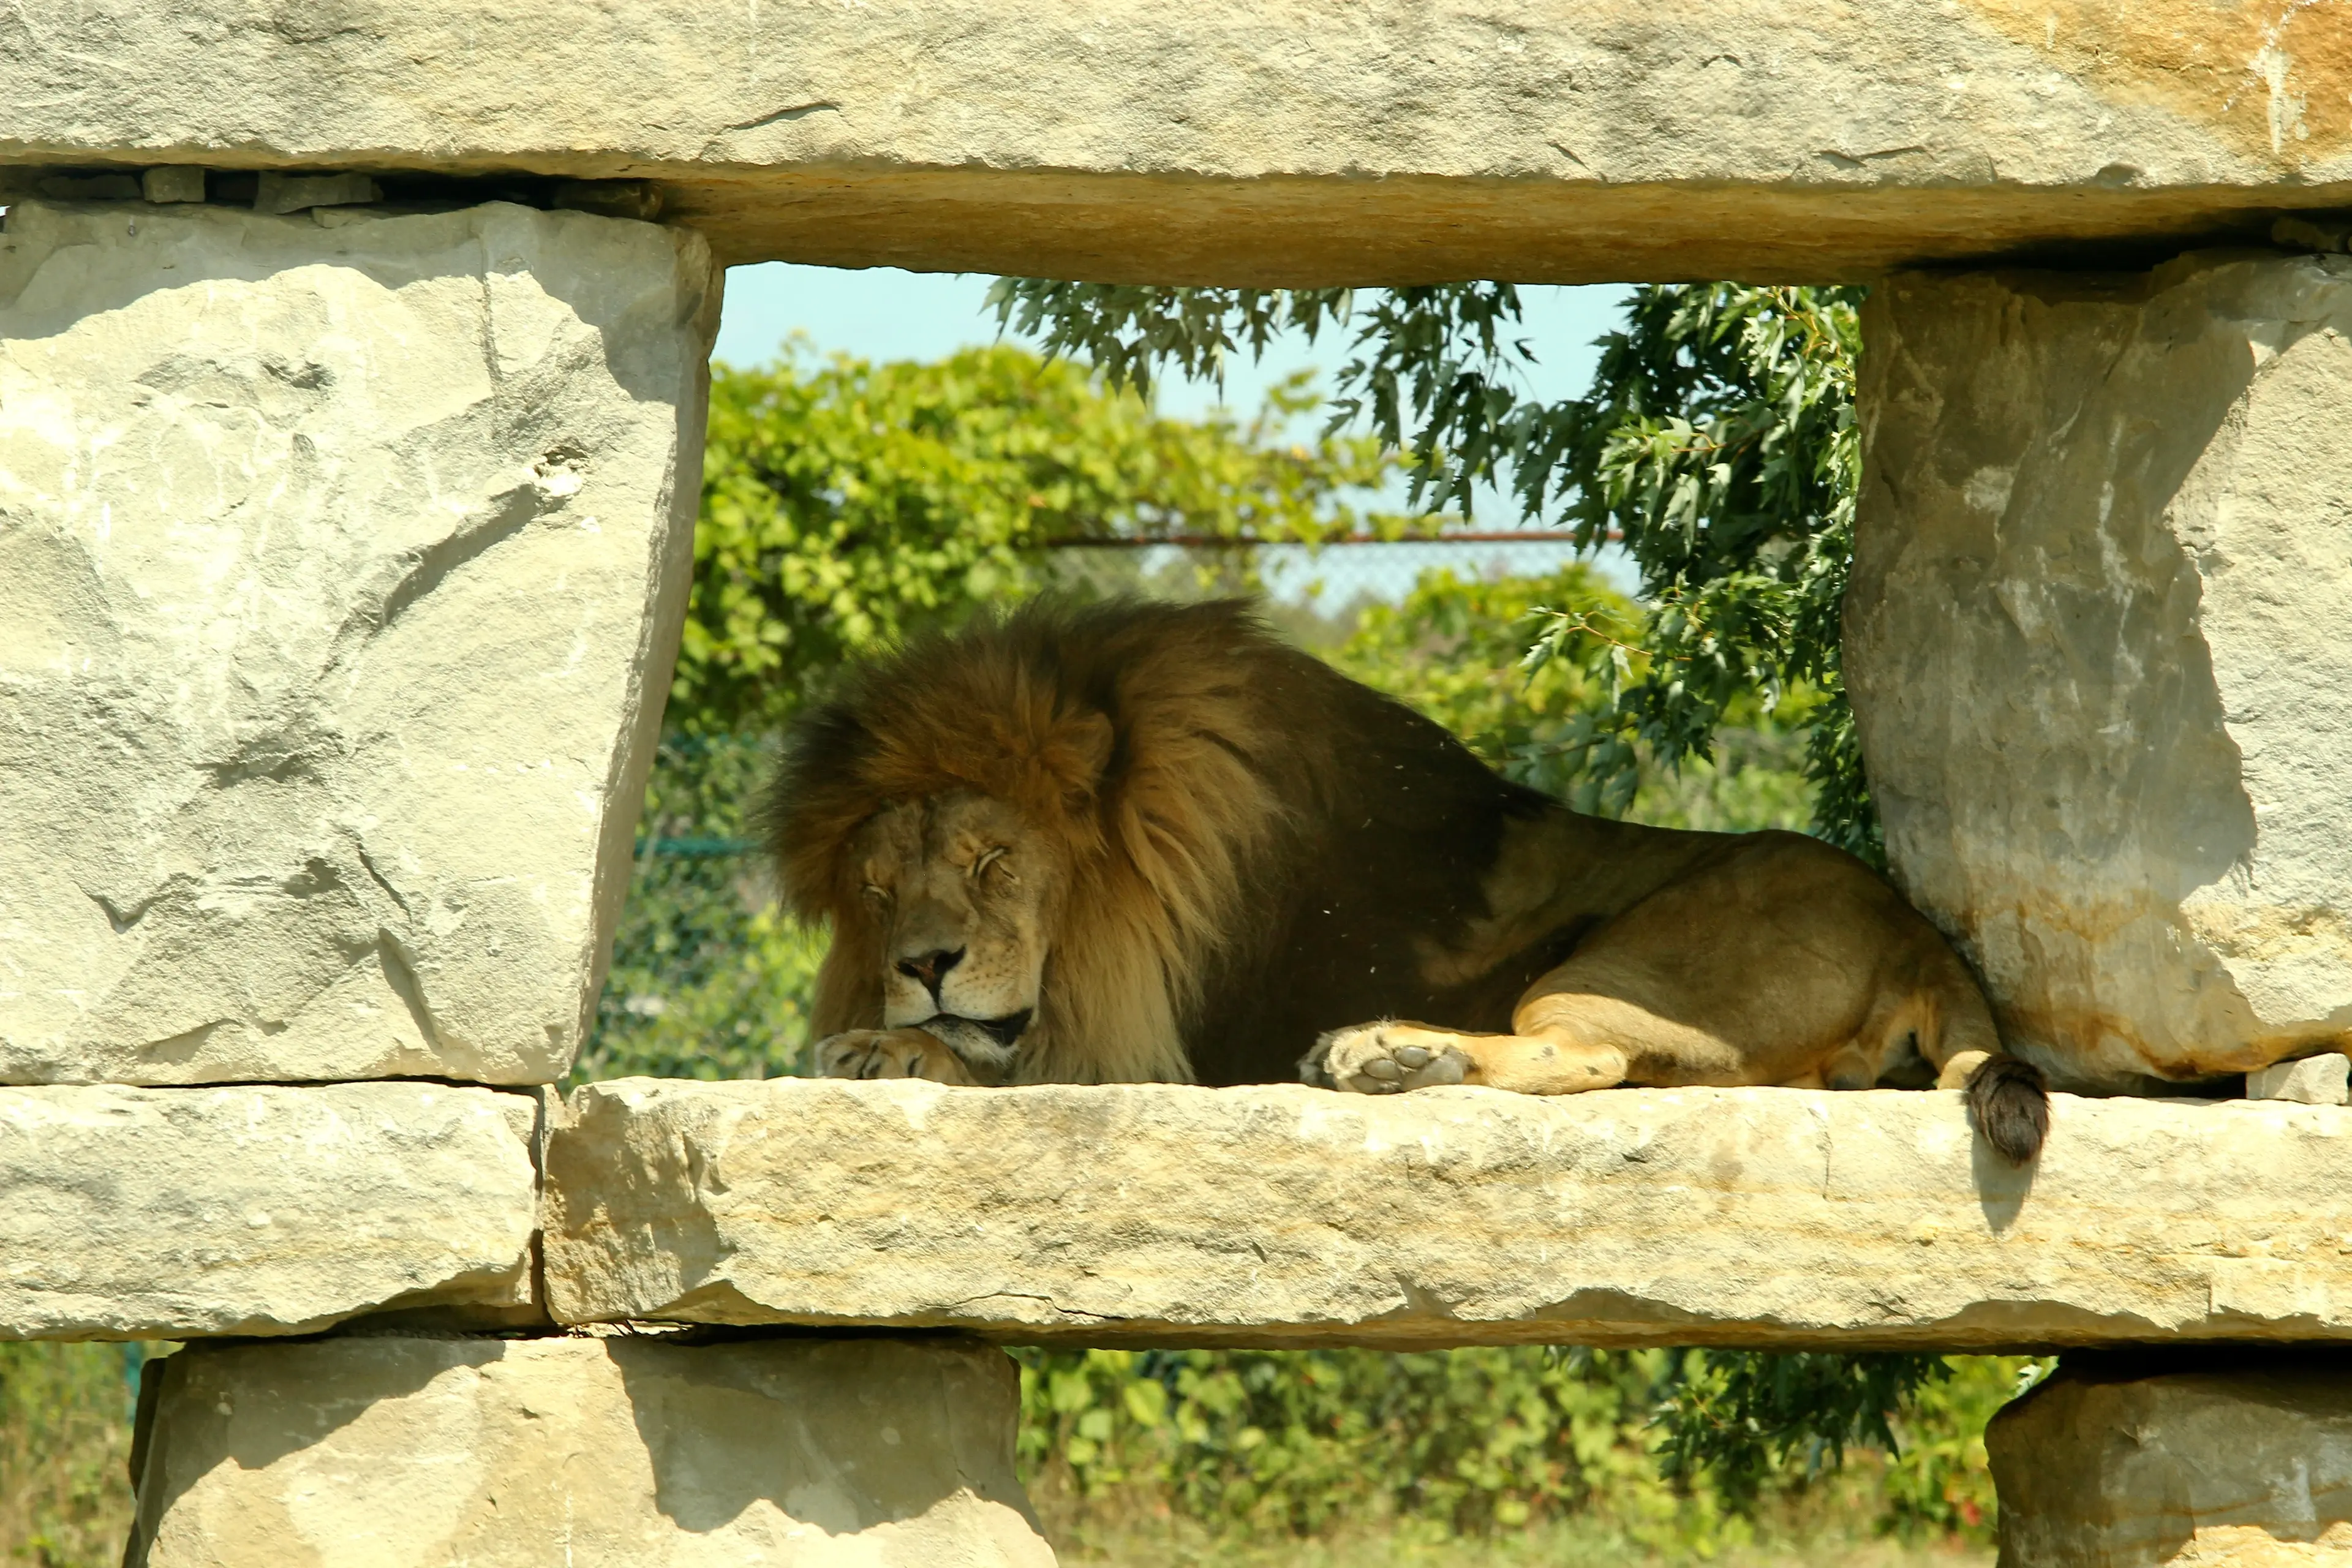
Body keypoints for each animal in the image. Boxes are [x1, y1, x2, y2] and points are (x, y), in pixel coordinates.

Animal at [766, 601, 2041, 1166]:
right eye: (875, 889)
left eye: (992, 862)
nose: (921, 966)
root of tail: (1914, 926)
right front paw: (888, 1035)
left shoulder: (1156, 1053)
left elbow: (998, 1062)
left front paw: (882, 1048)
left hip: (1620, 966)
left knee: (1588, 1057)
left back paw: (1378, 1052)